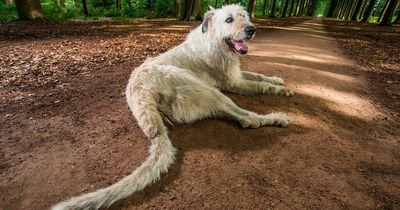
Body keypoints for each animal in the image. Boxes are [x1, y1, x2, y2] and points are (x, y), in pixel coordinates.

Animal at [52, 4, 294, 209]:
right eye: (229, 19)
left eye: (244, 16)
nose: (252, 30)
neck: (214, 40)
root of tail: (143, 100)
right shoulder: (232, 83)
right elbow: (259, 85)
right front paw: (280, 90)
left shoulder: (236, 74)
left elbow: (258, 76)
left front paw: (277, 80)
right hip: (204, 89)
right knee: (247, 119)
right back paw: (277, 118)